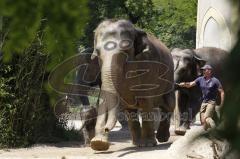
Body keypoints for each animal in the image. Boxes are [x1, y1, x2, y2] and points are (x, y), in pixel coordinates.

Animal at [89, 19, 175, 151]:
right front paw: (98, 143)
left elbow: (145, 101)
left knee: (169, 105)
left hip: (169, 78)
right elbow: (107, 100)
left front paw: (148, 144)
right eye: (97, 53)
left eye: (125, 51)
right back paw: (137, 143)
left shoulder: (148, 65)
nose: (106, 128)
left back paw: (161, 139)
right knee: (131, 111)